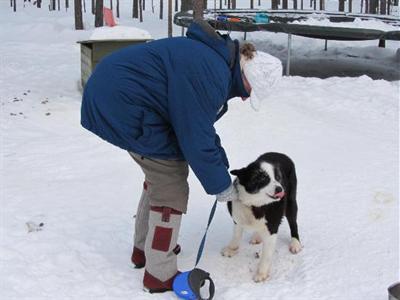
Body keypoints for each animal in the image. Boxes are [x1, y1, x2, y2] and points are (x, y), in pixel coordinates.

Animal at [220, 152, 302, 282]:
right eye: (261, 178)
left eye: (278, 177)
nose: (280, 189)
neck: (254, 204)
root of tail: (280, 154)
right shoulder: (237, 218)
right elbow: (236, 235)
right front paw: (231, 249)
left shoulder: (272, 227)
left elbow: (266, 255)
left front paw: (261, 273)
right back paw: (257, 236)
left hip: (291, 201)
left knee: (293, 222)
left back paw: (295, 243)